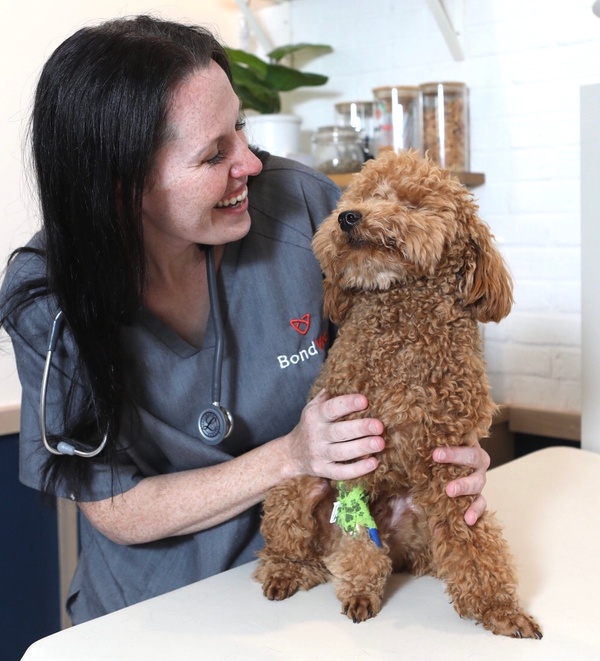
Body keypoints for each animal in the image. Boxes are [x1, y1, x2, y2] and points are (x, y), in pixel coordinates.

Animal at [252, 151, 540, 640]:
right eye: (362, 196)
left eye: (410, 203)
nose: (348, 217)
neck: (404, 320)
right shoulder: (351, 449)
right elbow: (357, 540)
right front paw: (360, 593)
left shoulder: (449, 462)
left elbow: (472, 538)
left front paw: (497, 606)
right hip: (298, 484)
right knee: (294, 542)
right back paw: (288, 570)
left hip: (422, 511)